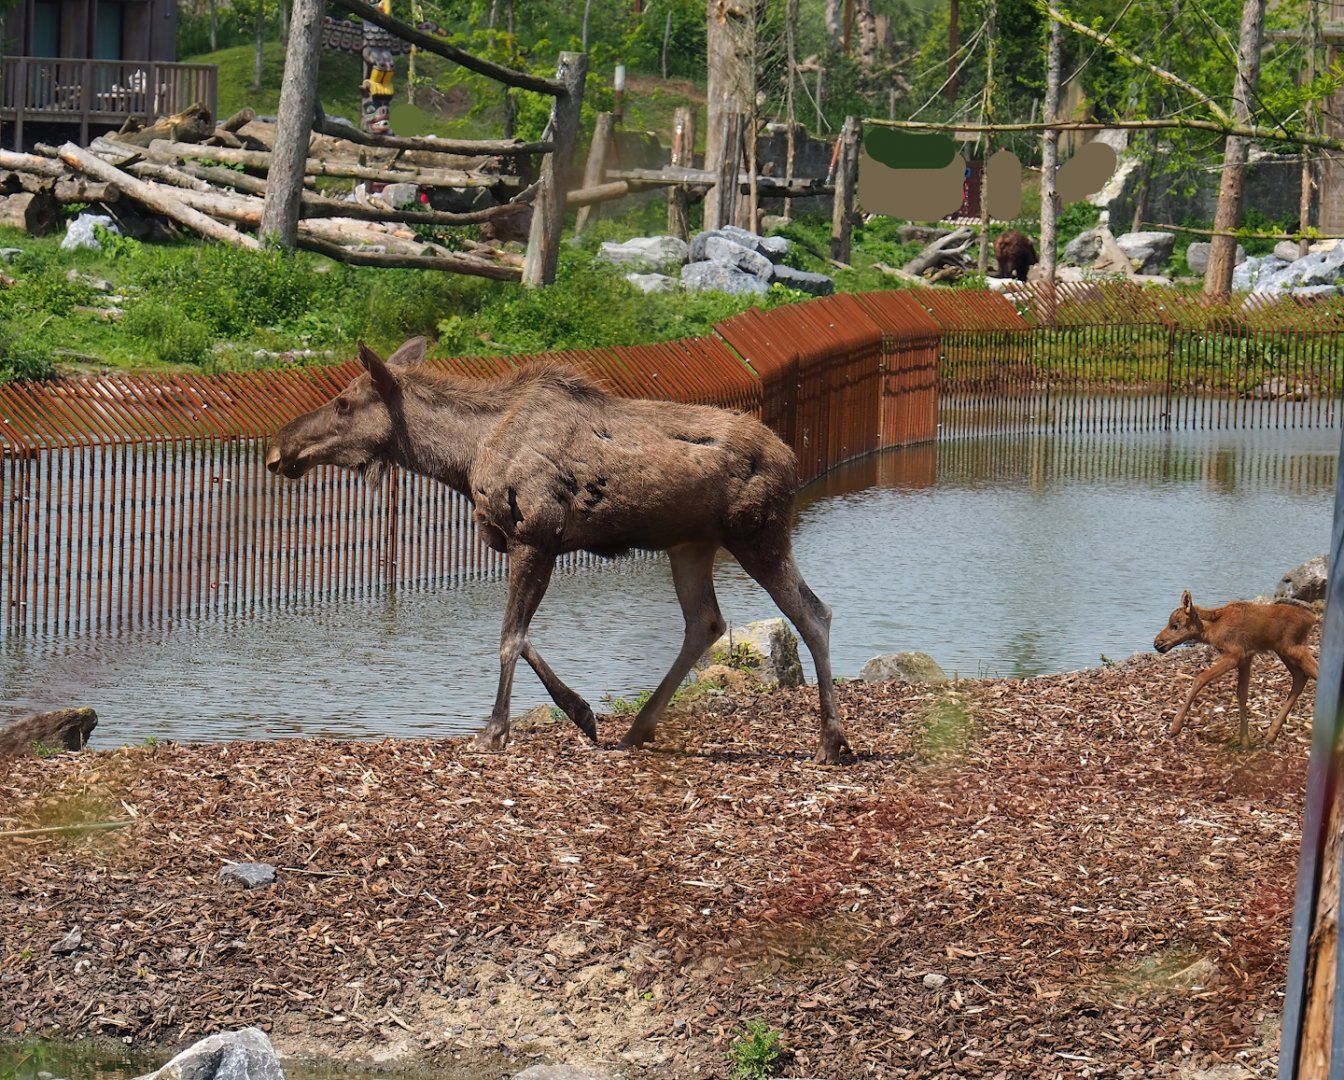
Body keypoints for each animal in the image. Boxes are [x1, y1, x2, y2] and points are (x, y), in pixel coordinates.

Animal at [264, 336, 850, 764]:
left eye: (344, 402)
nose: (277, 448)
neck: (462, 457)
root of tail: (792, 459)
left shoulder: (534, 537)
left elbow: (508, 638)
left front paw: (494, 732)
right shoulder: (539, 545)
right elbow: (522, 636)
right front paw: (582, 712)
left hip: (758, 534)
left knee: (814, 613)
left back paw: (832, 740)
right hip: (689, 544)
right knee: (705, 622)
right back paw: (637, 728)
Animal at [1153, 590, 1319, 748]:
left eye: (1175, 625)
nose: (1157, 643)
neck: (1211, 630)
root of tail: (1312, 619)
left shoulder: (1235, 655)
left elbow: (1201, 678)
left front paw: (1175, 726)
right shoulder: (1246, 658)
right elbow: (1241, 694)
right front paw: (1245, 741)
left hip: (1293, 648)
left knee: (1314, 671)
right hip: (1283, 650)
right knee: (1300, 676)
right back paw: (1271, 735)